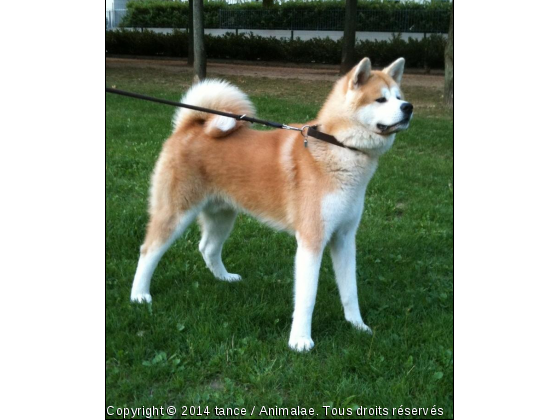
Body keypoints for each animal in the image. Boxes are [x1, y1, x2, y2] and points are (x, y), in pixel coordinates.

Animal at [130, 56, 412, 352]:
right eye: (380, 99)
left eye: (399, 97)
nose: (409, 107)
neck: (339, 147)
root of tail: (190, 127)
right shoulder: (312, 239)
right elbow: (307, 297)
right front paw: (300, 340)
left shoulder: (344, 237)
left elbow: (350, 290)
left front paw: (357, 326)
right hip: (176, 213)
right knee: (149, 250)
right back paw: (139, 295)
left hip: (223, 216)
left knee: (207, 248)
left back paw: (224, 278)